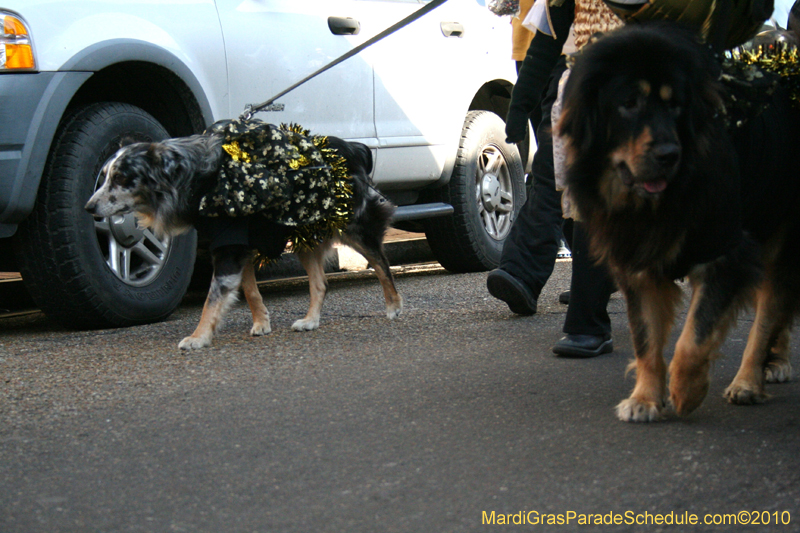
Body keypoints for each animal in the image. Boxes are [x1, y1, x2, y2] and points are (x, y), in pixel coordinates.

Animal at [85, 122, 404, 352]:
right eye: (105, 176)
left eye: (121, 179)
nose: (89, 208)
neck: (195, 178)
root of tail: (354, 147)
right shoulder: (239, 245)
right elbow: (249, 290)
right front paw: (262, 322)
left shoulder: (229, 248)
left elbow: (212, 300)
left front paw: (199, 337)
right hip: (304, 234)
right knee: (320, 284)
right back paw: (311, 320)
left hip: (354, 227)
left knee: (381, 263)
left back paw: (393, 306)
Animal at [560, 22, 800, 422]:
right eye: (629, 103)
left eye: (675, 106)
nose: (668, 154)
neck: (656, 203)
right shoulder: (637, 261)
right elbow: (645, 339)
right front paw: (644, 399)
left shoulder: (726, 253)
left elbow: (694, 338)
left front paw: (687, 391)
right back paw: (774, 362)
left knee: (769, 310)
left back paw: (749, 381)